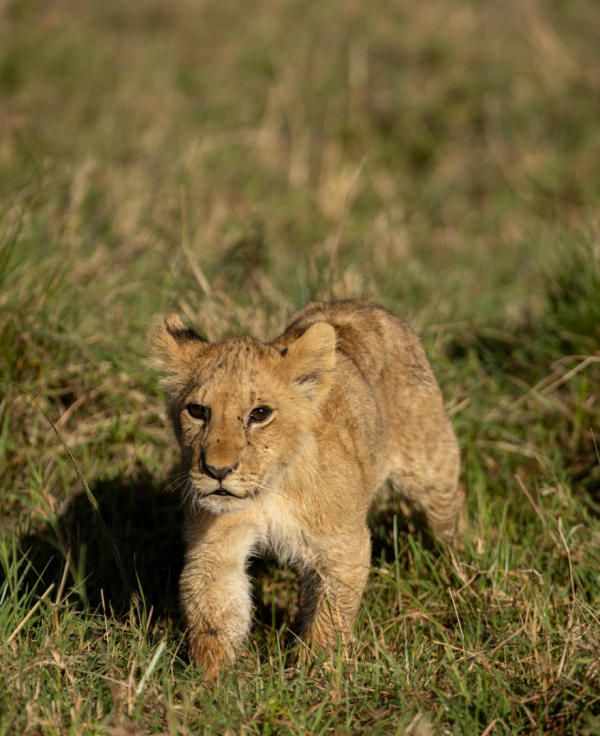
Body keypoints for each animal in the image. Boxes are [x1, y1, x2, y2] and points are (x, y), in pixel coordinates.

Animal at [151, 300, 460, 678]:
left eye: (260, 414)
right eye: (197, 411)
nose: (217, 471)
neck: (270, 488)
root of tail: (363, 303)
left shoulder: (343, 546)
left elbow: (330, 617)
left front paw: (314, 674)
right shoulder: (217, 547)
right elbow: (214, 617)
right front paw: (210, 682)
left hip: (429, 466)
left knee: (449, 508)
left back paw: (455, 565)